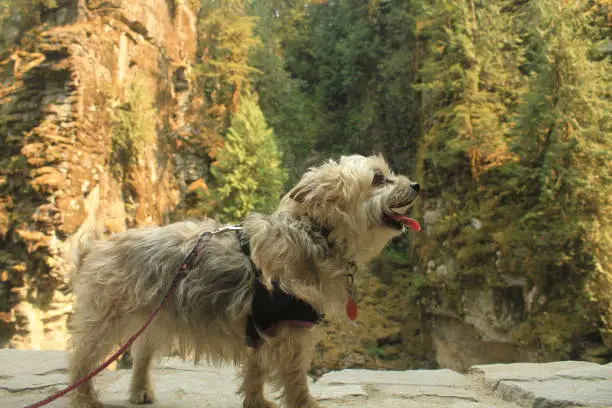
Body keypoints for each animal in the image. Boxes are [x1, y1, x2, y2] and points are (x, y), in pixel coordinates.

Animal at [68, 155, 420, 406]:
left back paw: (140, 390)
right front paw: (305, 404)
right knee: (83, 359)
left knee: (142, 352)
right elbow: (295, 379)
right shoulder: (289, 330)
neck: (313, 233)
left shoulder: (262, 326)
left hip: (154, 316)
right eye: (379, 178)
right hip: (107, 319)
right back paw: (85, 399)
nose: (416, 184)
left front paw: (257, 402)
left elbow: (255, 371)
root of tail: (95, 248)